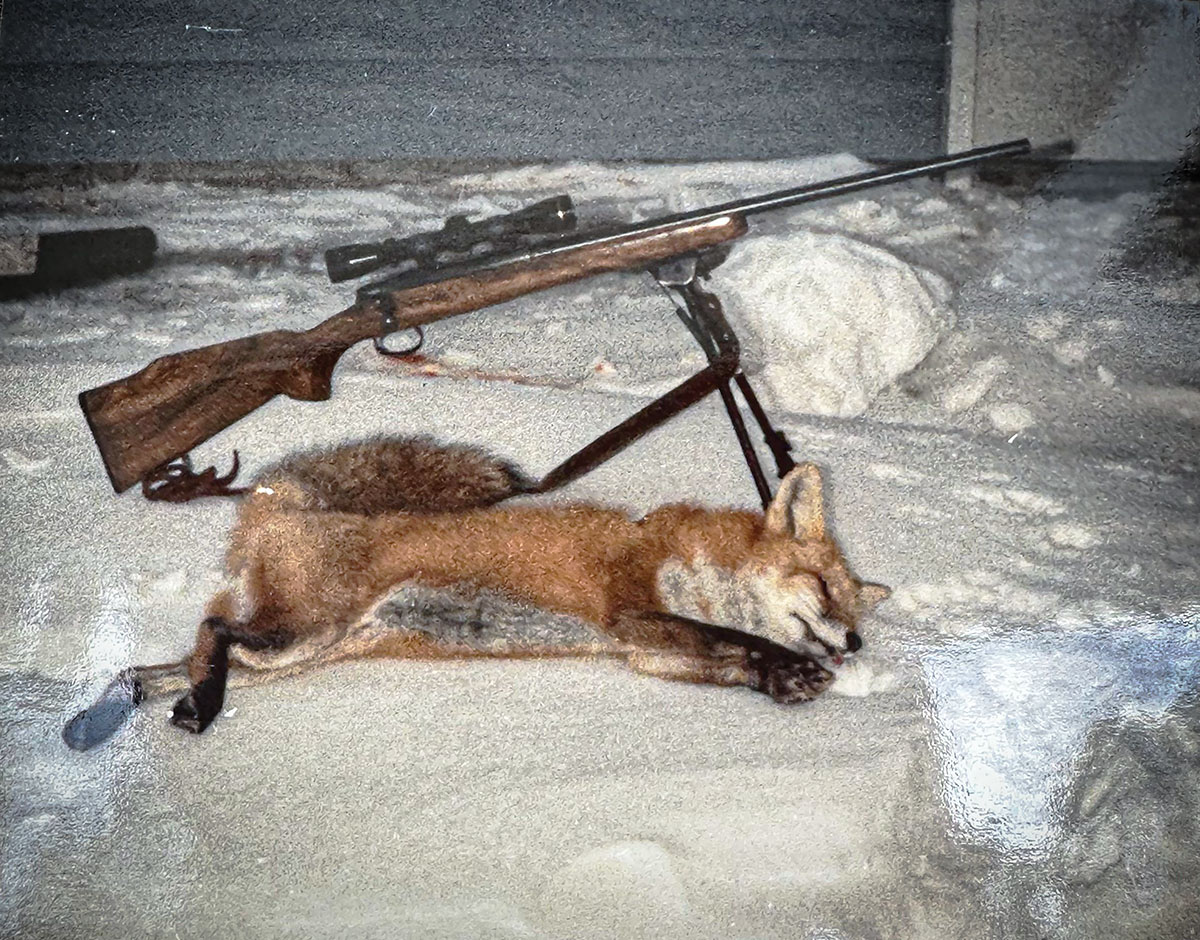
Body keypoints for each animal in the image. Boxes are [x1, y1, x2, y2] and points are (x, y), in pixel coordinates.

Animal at [64, 436, 889, 750]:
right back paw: (197, 710)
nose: (853, 642)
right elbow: (739, 640)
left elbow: (732, 658)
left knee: (166, 662)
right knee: (211, 630)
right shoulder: (632, 610)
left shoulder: (647, 651)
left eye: (853, 609)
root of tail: (283, 503)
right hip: (299, 635)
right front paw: (794, 669)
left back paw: (122, 710)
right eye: (822, 588)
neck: (684, 559)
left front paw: (786, 679)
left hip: (297, 656)